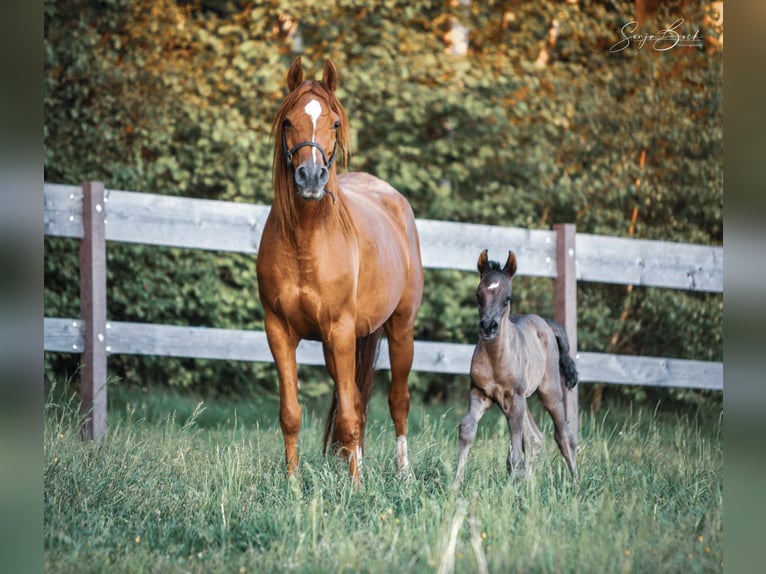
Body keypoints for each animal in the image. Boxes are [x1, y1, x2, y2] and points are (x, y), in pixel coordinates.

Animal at [258, 57, 426, 486]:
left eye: (334, 123)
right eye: (288, 121)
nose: (311, 177)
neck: (306, 241)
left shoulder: (341, 330)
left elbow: (351, 415)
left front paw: (356, 487)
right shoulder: (279, 331)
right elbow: (292, 413)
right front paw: (293, 484)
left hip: (399, 329)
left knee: (397, 401)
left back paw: (403, 474)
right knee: (356, 398)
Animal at [456, 250, 576, 484]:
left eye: (507, 298)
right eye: (478, 294)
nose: (488, 327)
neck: (497, 359)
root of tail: (546, 323)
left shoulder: (515, 396)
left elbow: (516, 450)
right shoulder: (480, 392)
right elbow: (467, 429)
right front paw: (455, 484)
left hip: (547, 393)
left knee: (563, 435)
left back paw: (576, 482)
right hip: (514, 401)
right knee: (534, 437)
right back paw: (529, 483)